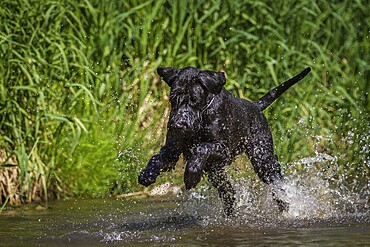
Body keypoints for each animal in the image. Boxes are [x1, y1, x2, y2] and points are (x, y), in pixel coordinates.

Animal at [137, 65, 310, 216]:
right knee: (229, 193)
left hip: (262, 160)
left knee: (276, 183)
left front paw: (191, 174)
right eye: (173, 98)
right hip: (217, 172)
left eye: (194, 99)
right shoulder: (172, 150)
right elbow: (157, 158)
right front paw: (147, 174)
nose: (178, 125)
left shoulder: (224, 150)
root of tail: (256, 106)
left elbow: (202, 148)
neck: (203, 116)